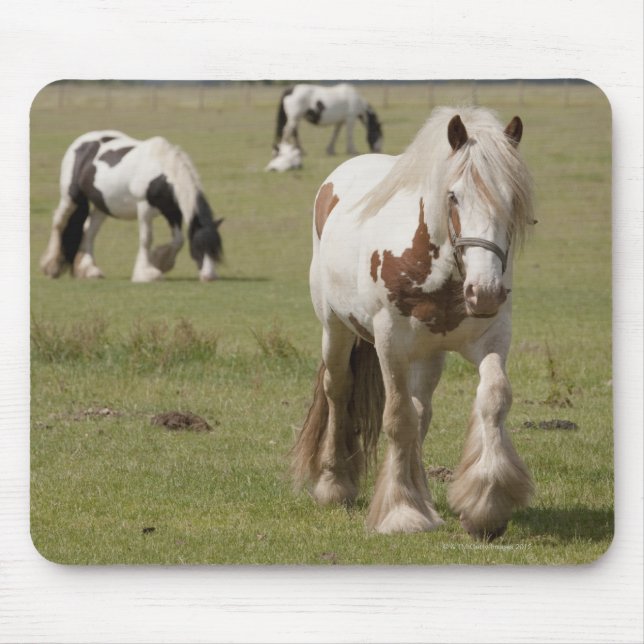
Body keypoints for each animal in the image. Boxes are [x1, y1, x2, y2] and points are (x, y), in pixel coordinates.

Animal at [40, 130, 224, 283]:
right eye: (198, 247)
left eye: (216, 250)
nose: (209, 277)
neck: (162, 170)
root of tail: (81, 142)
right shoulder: (144, 207)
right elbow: (146, 238)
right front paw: (146, 273)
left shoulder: (173, 210)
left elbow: (178, 240)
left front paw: (159, 262)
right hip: (71, 197)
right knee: (59, 222)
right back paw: (51, 266)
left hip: (102, 205)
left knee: (89, 231)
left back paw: (89, 270)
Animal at [292, 106, 536, 541]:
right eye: (453, 195)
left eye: (511, 199)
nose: (486, 293)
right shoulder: (390, 344)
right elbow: (398, 418)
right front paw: (402, 512)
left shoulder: (491, 338)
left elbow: (493, 399)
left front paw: (486, 505)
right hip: (335, 329)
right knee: (338, 389)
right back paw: (334, 483)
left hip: (429, 356)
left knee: (421, 410)